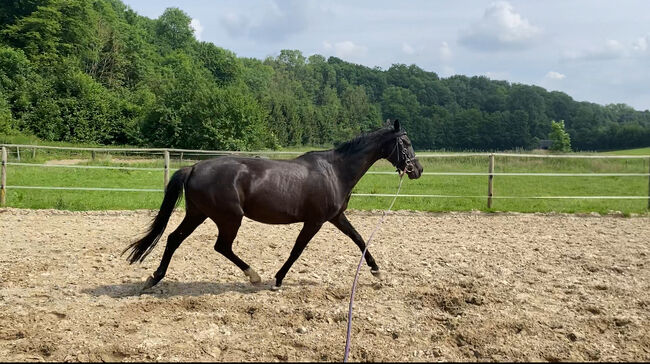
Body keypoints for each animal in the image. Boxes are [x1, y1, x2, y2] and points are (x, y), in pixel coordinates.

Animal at [124, 119, 422, 290]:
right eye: (406, 142)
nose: (417, 170)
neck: (335, 171)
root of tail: (194, 167)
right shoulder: (315, 221)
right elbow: (297, 250)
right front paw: (278, 280)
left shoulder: (336, 217)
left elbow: (359, 239)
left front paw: (376, 272)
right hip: (229, 218)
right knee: (221, 246)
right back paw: (254, 276)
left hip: (198, 214)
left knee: (174, 238)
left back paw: (154, 278)